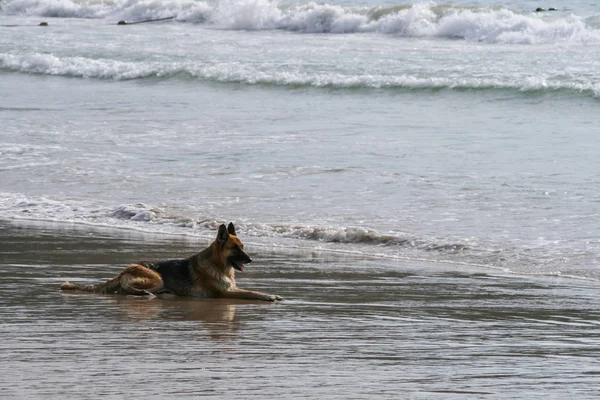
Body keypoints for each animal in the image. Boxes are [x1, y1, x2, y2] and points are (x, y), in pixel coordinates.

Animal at [62, 222, 282, 304]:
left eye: (242, 246)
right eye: (235, 248)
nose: (251, 259)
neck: (218, 265)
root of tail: (126, 269)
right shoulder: (224, 293)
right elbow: (251, 293)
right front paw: (268, 296)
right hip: (156, 278)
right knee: (123, 288)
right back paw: (143, 293)